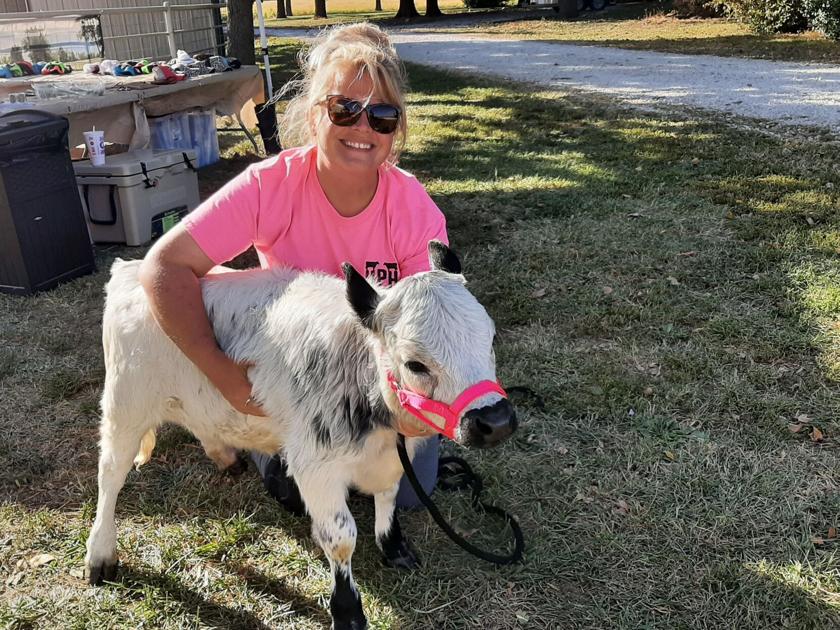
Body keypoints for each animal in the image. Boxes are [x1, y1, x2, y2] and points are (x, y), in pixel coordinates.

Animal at [84, 241, 517, 630]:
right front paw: (347, 611)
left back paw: (226, 457)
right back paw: (100, 554)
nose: (496, 421)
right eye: (415, 363)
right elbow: (341, 537)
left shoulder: (391, 460)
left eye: (492, 338)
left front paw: (394, 547)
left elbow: (389, 499)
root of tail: (129, 269)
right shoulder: (316, 468)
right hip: (124, 406)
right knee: (110, 476)